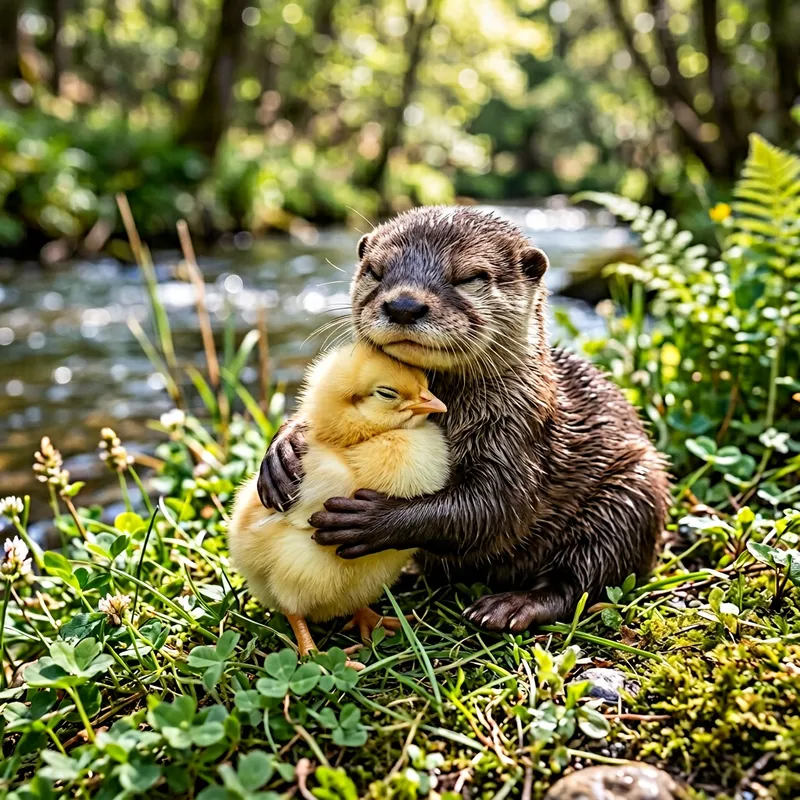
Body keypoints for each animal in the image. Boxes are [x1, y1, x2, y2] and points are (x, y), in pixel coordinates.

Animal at [257, 207, 669, 631]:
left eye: (469, 277)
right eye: (376, 270)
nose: (403, 305)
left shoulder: (520, 434)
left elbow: (495, 508)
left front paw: (372, 519)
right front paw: (283, 448)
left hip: (630, 495)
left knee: (582, 577)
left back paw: (511, 605)